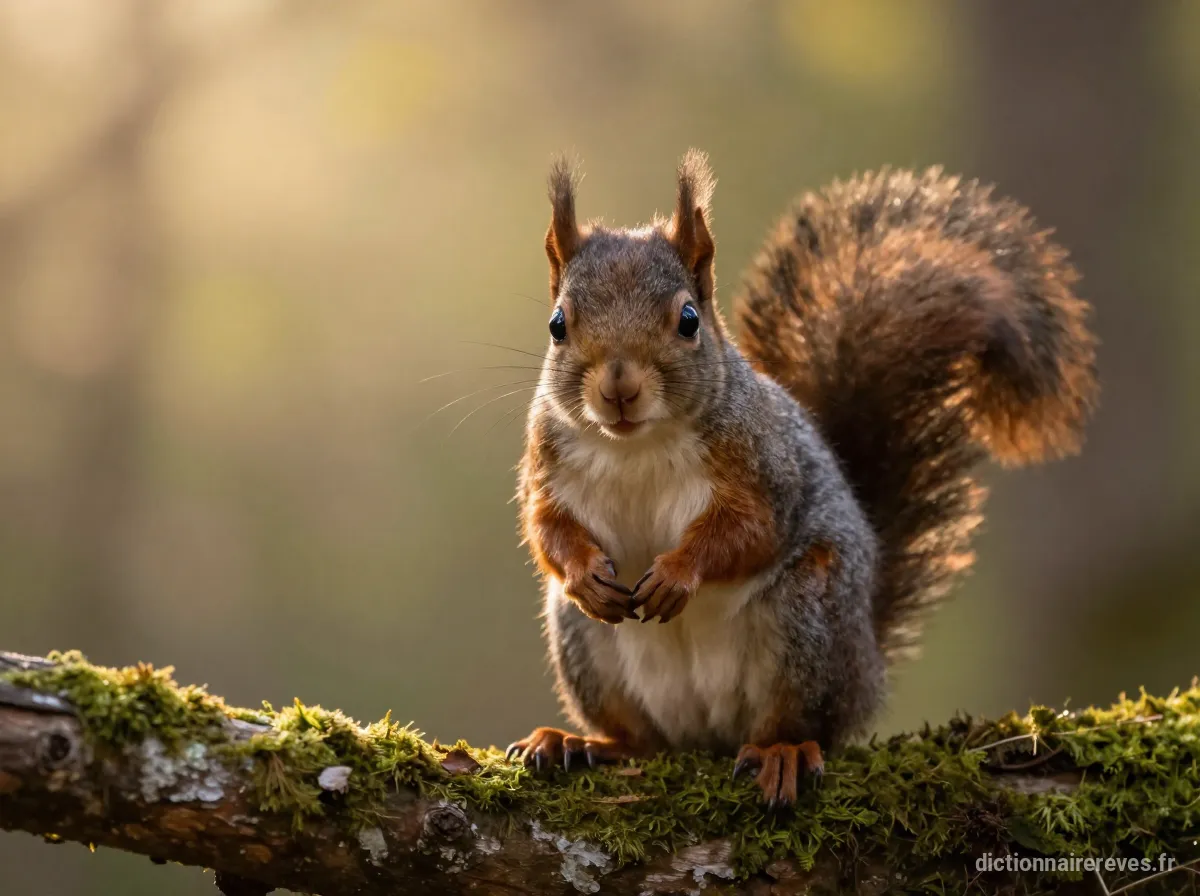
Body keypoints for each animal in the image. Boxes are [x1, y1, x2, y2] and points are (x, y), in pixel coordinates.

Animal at [505, 150, 1097, 806]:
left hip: (807, 618)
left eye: (688, 320)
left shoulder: (763, 466)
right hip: (584, 643)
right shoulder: (547, 461)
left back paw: (781, 752)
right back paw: (582, 743)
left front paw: (677, 573)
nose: (619, 388)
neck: (636, 446)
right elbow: (544, 526)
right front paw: (585, 574)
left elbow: (753, 530)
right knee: (641, 741)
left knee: (800, 721)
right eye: (558, 324)